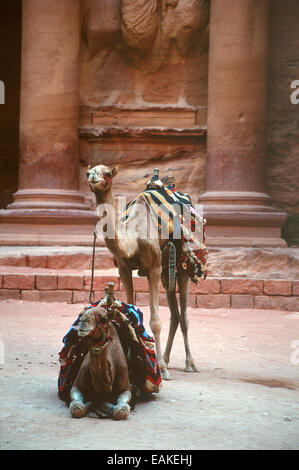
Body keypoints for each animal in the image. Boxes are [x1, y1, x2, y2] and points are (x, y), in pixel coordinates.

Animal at [86, 163, 199, 380]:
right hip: (166, 271)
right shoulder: (124, 269)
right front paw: (135, 362)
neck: (133, 237)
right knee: (175, 314)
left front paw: (160, 369)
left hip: (182, 268)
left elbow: (155, 321)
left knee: (185, 316)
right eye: (88, 172)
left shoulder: (153, 268)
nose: (94, 177)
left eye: (108, 173)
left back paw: (190, 364)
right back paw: (167, 358)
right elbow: (130, 313)